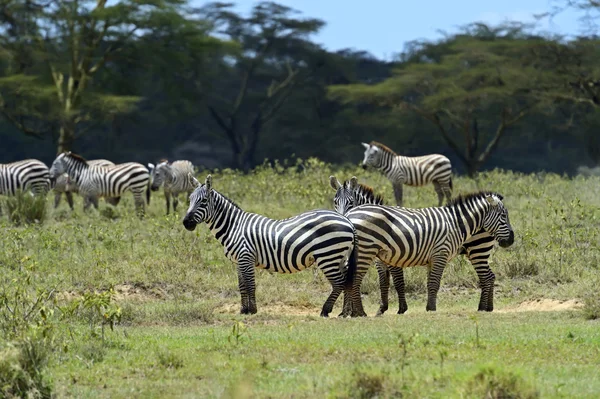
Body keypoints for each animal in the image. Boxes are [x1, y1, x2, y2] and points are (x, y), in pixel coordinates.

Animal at [183, 173, 356, 318]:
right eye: (190, 199)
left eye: (203, 201)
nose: (186, 223)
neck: (234, 226)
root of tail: (347, 220)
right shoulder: (239, 261)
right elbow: (242, 285)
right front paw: (243, 310)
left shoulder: (246, 256)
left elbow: (250, 284)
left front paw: (252, 310)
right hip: (339, 257)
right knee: (347, 281)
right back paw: (345, 312)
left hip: (328, 255)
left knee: (338, 283)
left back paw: (325, 310)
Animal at [330, 177, 500, 316]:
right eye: (335, 202)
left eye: (351, 202)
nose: (343, 226)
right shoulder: (379, 260)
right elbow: (383, 283)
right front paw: (377, 309)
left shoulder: (393, 257)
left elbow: (398, 282)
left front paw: (401, 309)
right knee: (490, 276)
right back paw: (488, 307)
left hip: (478, 250)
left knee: (487, 277)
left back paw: (484, 308)